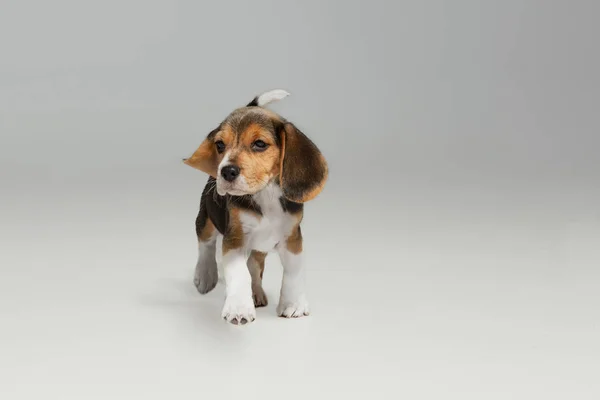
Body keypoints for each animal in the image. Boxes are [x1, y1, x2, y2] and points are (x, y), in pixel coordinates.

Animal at [184, 89, 328, 324]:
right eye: (220, 145)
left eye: (259, 144)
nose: (226, 171)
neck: (265, 194)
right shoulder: (234, 239)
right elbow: (238, 273)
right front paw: (239, 308)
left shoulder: (293, 239)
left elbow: (293, 272)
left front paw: (293, 304)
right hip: (205, 216)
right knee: (205, 244)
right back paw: (205, 276)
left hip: (260, 248)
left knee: (254, 264)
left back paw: (256, 292)